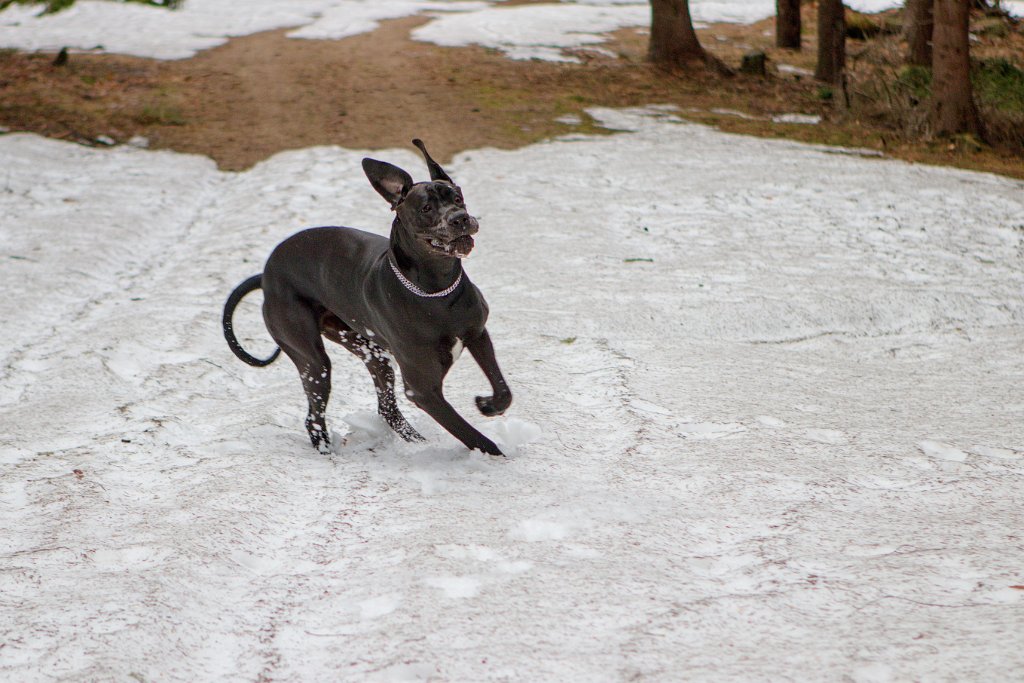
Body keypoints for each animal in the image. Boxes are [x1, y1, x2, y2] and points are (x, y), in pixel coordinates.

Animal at [223, 141, 512, 456]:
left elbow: (503, 389)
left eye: (458, 197)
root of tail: (265, 275)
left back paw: (417, 443)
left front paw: (490, 405)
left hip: (371, 351)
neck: (435, 290)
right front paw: (494, 456)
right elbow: (466, 431)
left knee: (386, 408)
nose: (460, 218)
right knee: (314, 415)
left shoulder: (477, 334)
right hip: (311, 359)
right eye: (426, 208)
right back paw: (328, 453)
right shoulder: (423, 388)